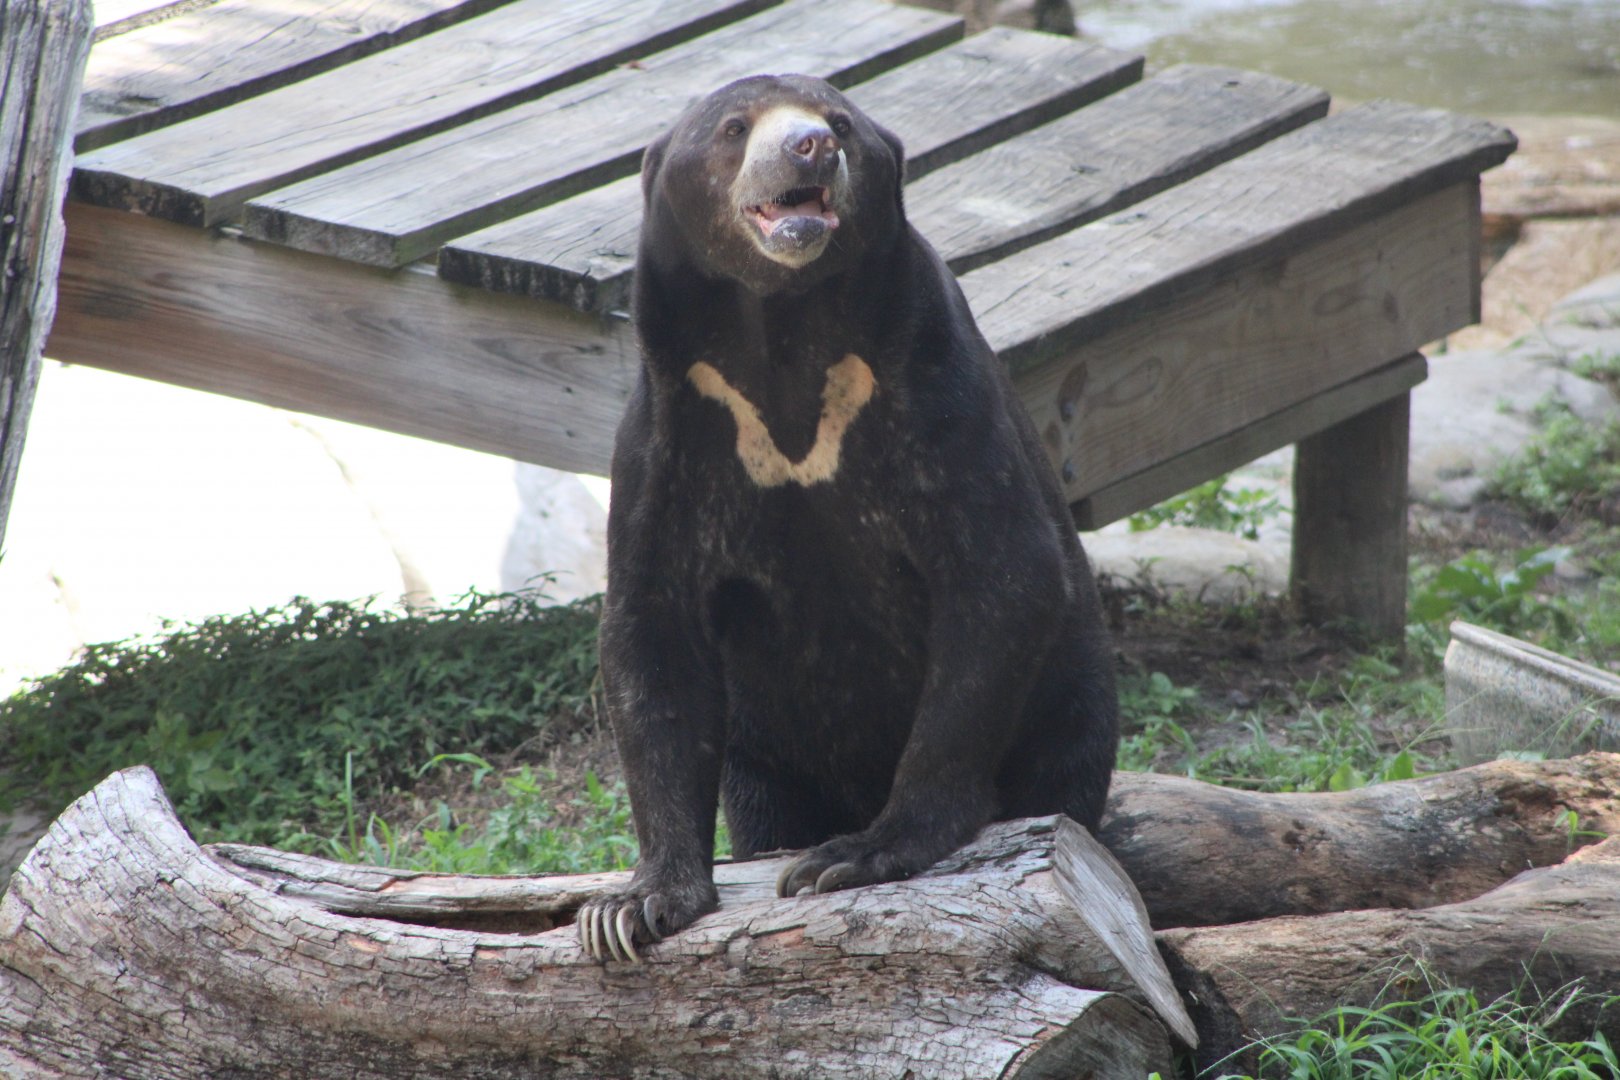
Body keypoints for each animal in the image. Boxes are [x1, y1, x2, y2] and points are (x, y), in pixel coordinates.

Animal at [577, 74, 1118, 963]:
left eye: (839, 123)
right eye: (734, 129)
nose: (809, 148)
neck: (784, 333)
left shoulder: (936, 392)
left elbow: (1003, 576)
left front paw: (858, 853)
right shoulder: (667, 441)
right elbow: (650, 634)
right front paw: (631, 908)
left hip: (1071, 707)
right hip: (767, 759)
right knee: (763, 805)